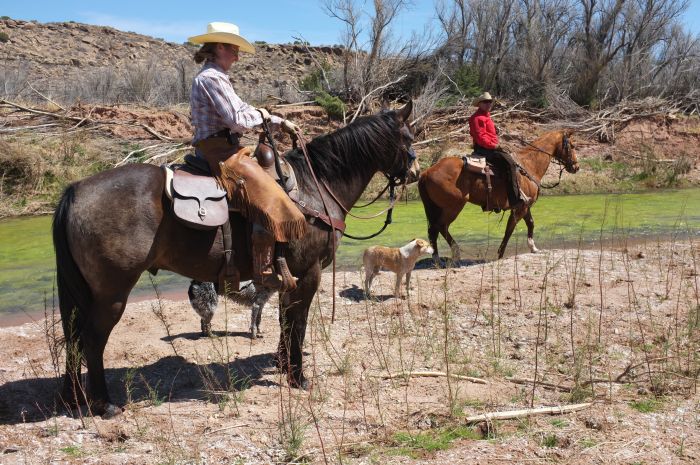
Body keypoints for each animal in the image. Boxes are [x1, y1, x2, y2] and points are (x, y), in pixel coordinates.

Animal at [56, 100, 416, 414]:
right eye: (409, 137)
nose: (414, 171)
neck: (317, 188)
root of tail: (75, 189)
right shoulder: (308, 273)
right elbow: (297, 323)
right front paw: (298, 376)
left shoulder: (287, 277)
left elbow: (284, 321)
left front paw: (282, 363)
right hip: (112, 293)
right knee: (91, 339)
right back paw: (104, 404)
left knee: (73, 338)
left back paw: (73, 399)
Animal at [418, 129, 576, 262]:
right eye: (573, 145)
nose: (576, 166)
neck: (529, 165)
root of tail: (427, 172)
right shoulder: (519, 208)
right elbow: (509, 230)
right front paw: (500, 254)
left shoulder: (525, 206)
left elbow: (530, 223)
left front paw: (533, 247)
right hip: (453, 207)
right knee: (440, 226)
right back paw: (452, 254)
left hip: (437, 207)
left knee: (434, 229)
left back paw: (437, 258)